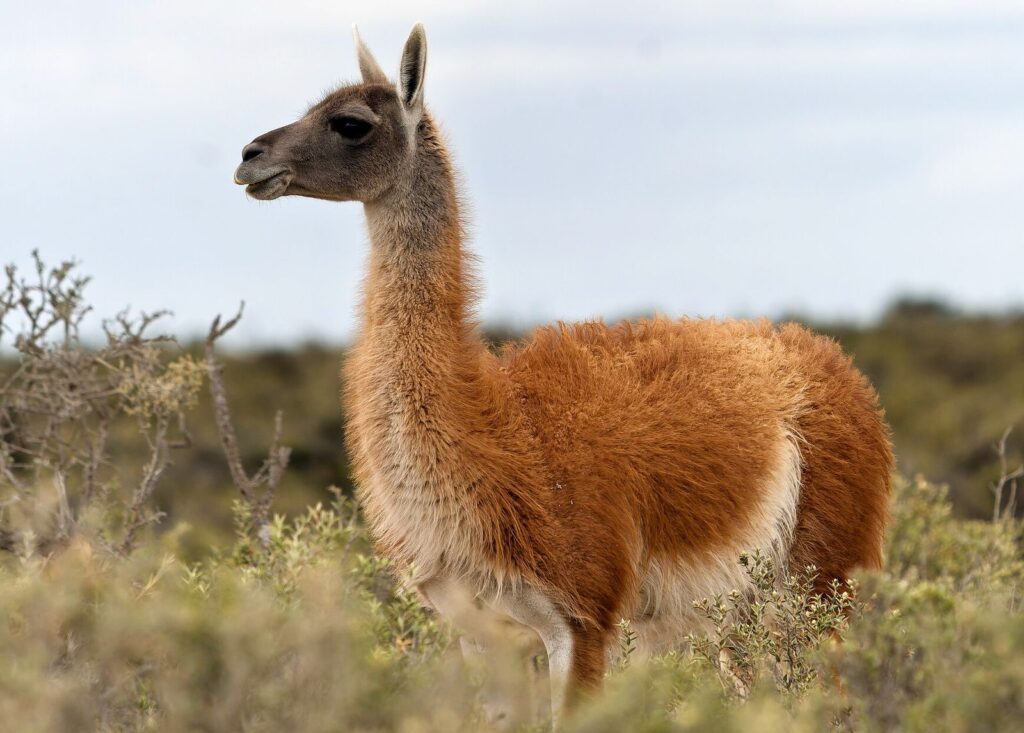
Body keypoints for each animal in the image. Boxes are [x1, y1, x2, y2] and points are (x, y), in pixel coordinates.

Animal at [233, 24, 892, 727]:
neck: (497, 431)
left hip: (822, 576)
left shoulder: (582, 613)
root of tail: (837, 366)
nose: (250, 156)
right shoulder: (483, 629)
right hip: (731, 616)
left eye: (350, 122)